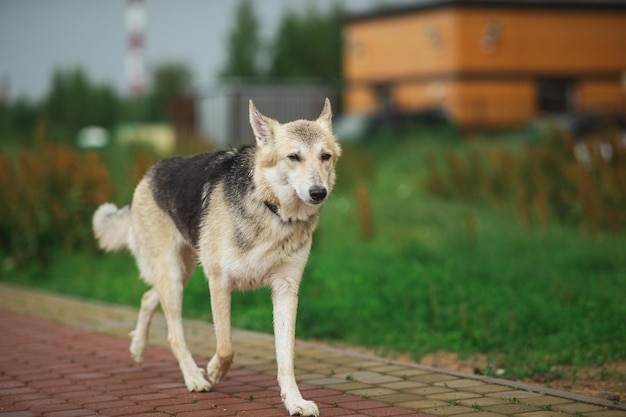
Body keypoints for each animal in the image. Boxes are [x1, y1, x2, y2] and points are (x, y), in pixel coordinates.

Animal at [91, 99, 342, 414]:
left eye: (325, 156)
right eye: (294, 157)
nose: (318, 192)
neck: (272, 211)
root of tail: (150, 174)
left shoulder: (286, 289)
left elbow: (286, 357)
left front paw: (295, 402)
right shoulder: (219, 281)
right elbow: (226, 347)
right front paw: (213, 371)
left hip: (181, 274)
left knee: (148, 298)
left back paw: (138, 348)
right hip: (173, 276)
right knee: (173, 333)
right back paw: (194, 378)